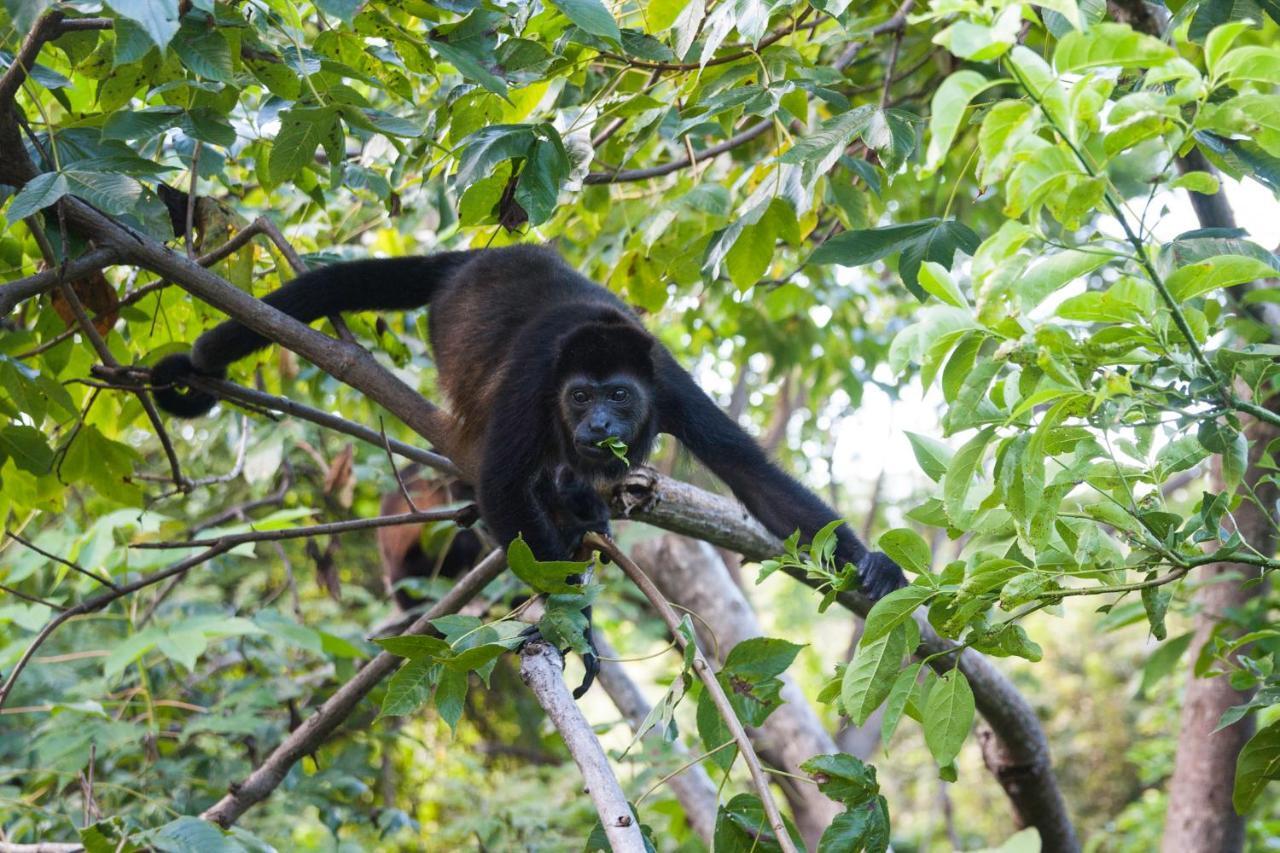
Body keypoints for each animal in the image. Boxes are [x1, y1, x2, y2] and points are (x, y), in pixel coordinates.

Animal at [149, 240, 911, 686]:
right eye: (579, 396)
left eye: (618, 395)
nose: (598, 425)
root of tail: (472, 257)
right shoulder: (535, 379)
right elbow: (500, 484)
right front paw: (577, 622)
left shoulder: (666, 381)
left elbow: (753, 475)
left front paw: (870, 564)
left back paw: (583, 503)